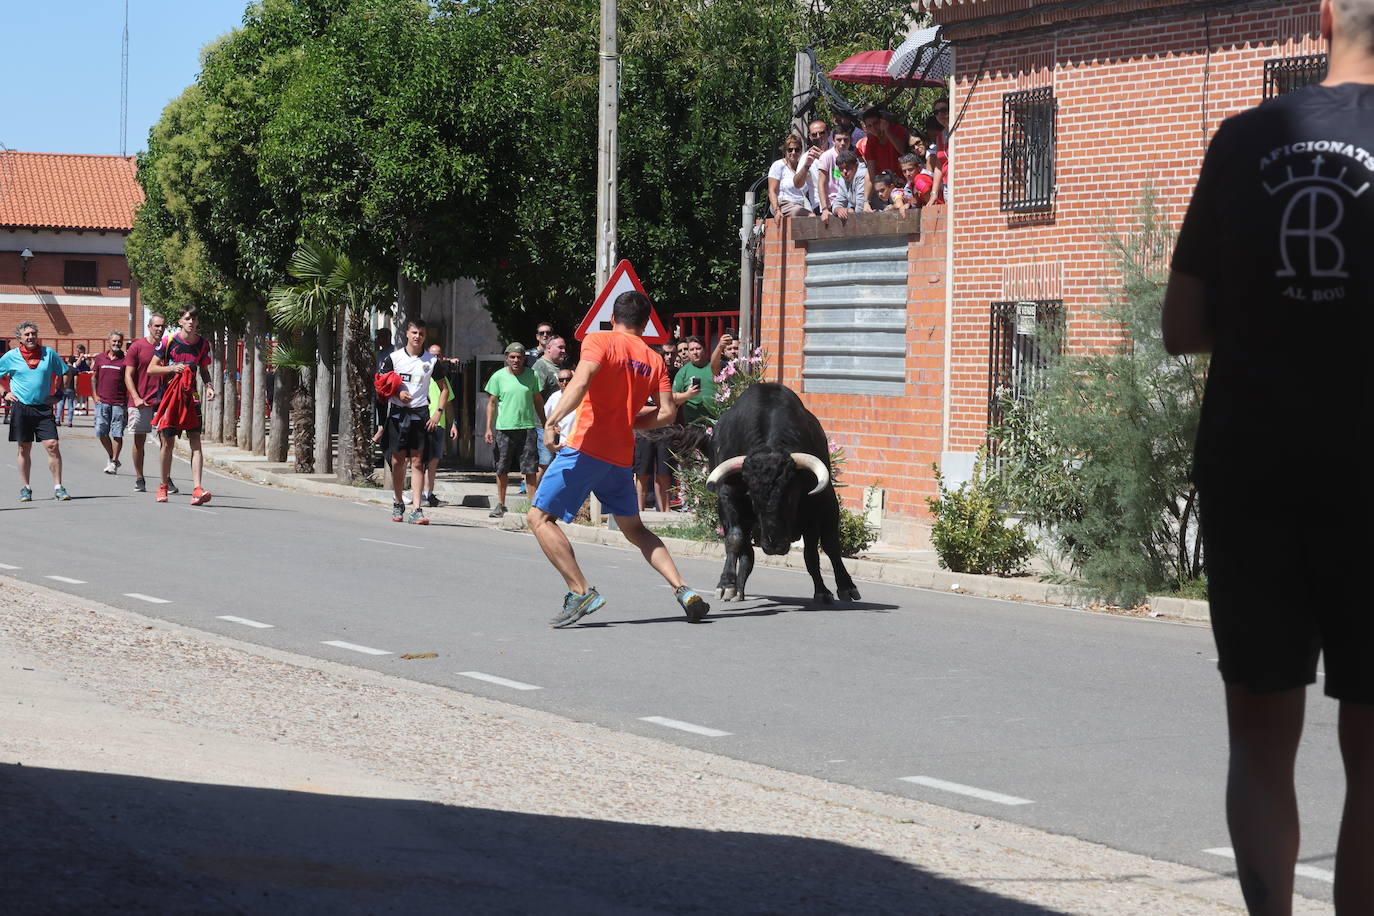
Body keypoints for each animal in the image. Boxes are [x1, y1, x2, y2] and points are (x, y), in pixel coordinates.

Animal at [708, 384, 857, 604]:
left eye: (791, 495)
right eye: (752, 497)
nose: (774, 544)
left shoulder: (825, 501)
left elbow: (828, 545)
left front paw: (845, 587)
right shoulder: (727, 496)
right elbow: (734, 539)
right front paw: (727, 585)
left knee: (811, 552)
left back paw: (823, 590)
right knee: (747, 551)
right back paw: (739, 590)